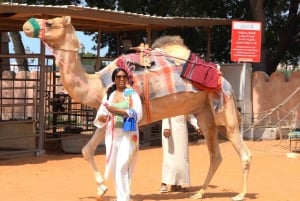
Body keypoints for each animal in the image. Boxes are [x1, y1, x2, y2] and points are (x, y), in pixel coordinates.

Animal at [23, 16, 252, 201]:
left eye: (50, 23)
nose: (26, 25)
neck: (99, 83)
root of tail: (225, 81)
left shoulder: (134, 120)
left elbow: (128, 158)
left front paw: (123, 192)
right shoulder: (107, 115)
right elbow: (87, 150)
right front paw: (101, 189)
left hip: (225, 108)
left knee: (242, 151)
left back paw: (240, 194)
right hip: (204, 113)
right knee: (215, 155)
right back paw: (199, 193)